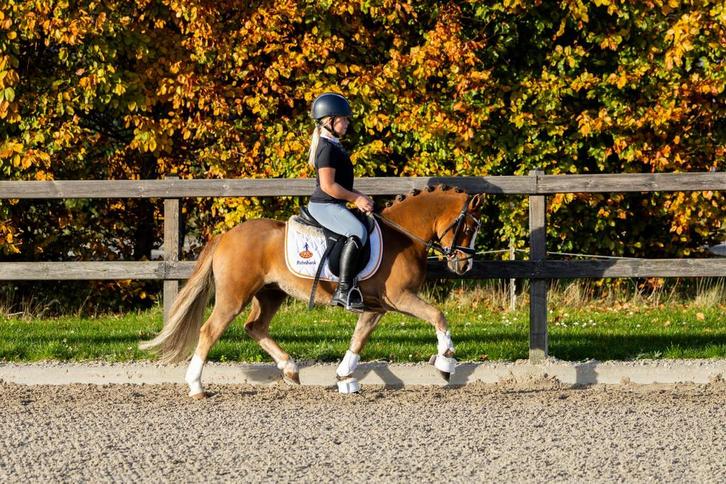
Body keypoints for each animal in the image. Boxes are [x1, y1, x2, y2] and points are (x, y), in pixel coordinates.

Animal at [140, 184, 483, 398]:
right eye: (468, 227)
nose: (463, 265)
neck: (403, 236)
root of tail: (226, 235)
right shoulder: (399, 298)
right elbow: (438, 315)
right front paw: (445, 363)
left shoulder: (376, 307)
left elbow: (358, 339)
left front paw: (345, 377)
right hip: (234, 296)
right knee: (210, 331)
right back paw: (196, 386)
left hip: (271, 293)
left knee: (255, 326)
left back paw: (290, 369)